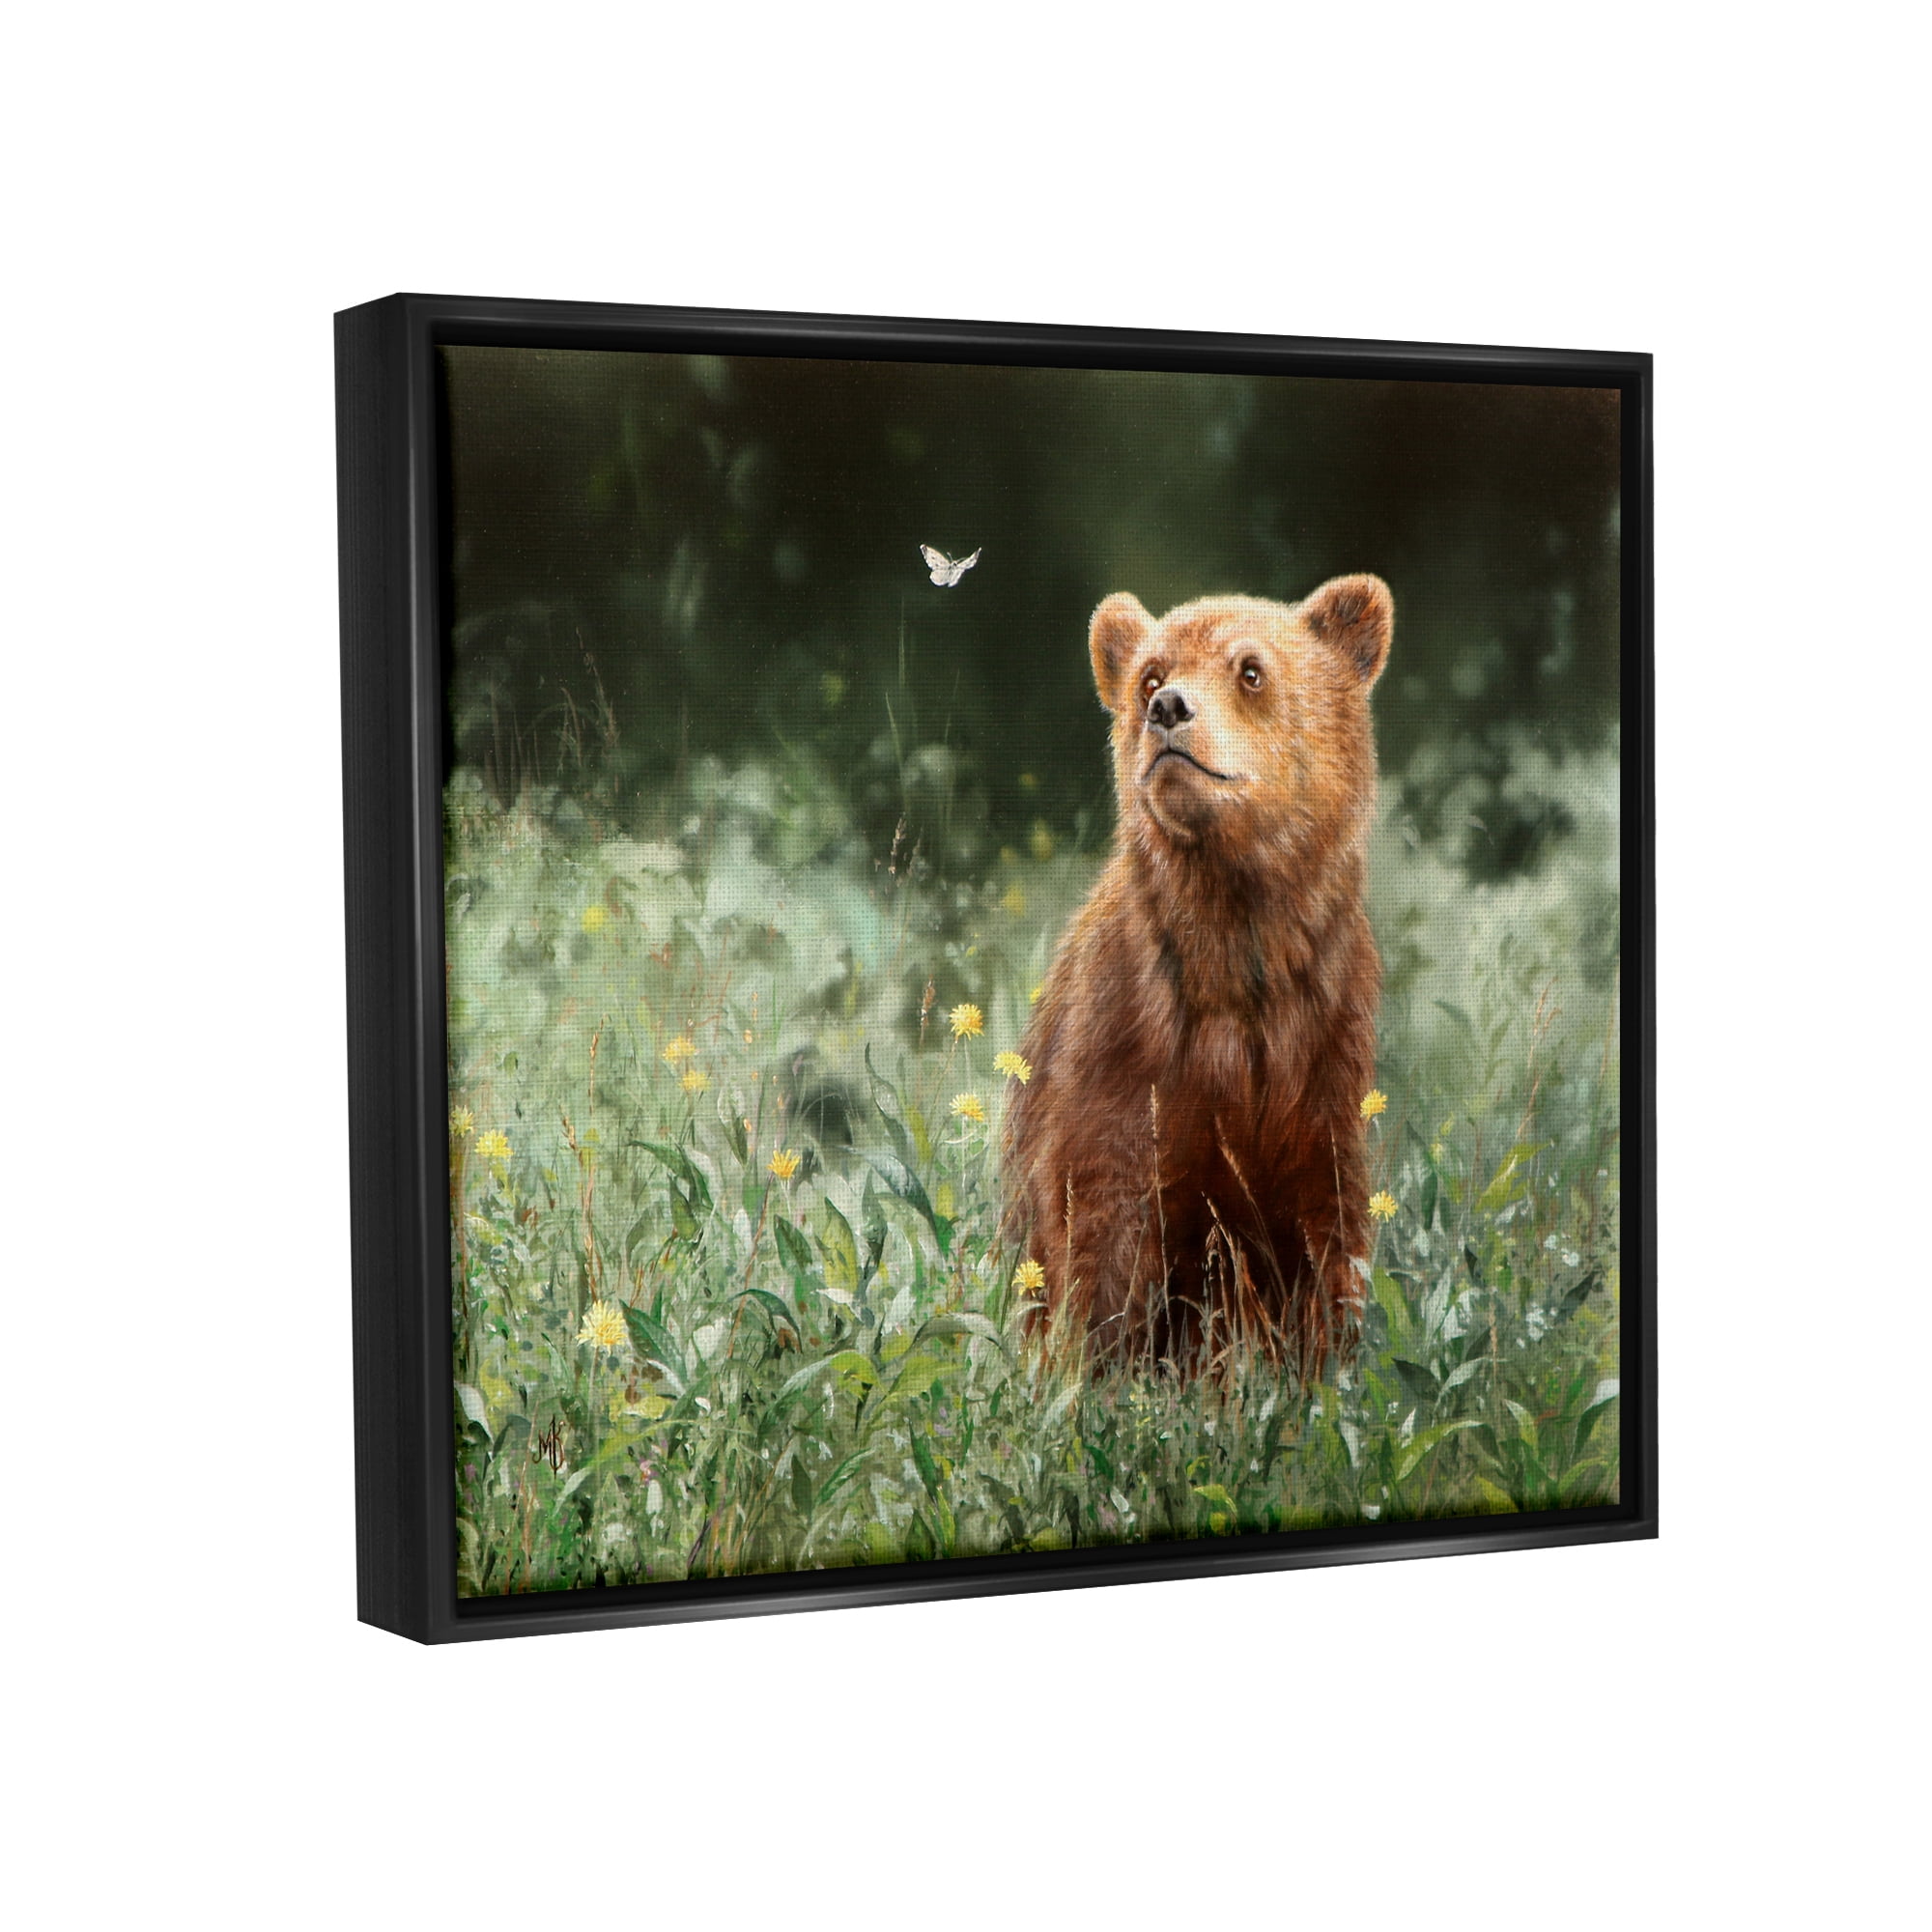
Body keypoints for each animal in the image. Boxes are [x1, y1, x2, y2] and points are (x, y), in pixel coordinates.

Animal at [1002, 574, 1393, 1375]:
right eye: (1149, 674)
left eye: (1250, 669)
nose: (1168, 708)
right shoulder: (1126, 1045)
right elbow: (1101, 1223)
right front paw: (1098, 1367)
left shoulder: (1322, 1047)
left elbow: (1324, 1230)